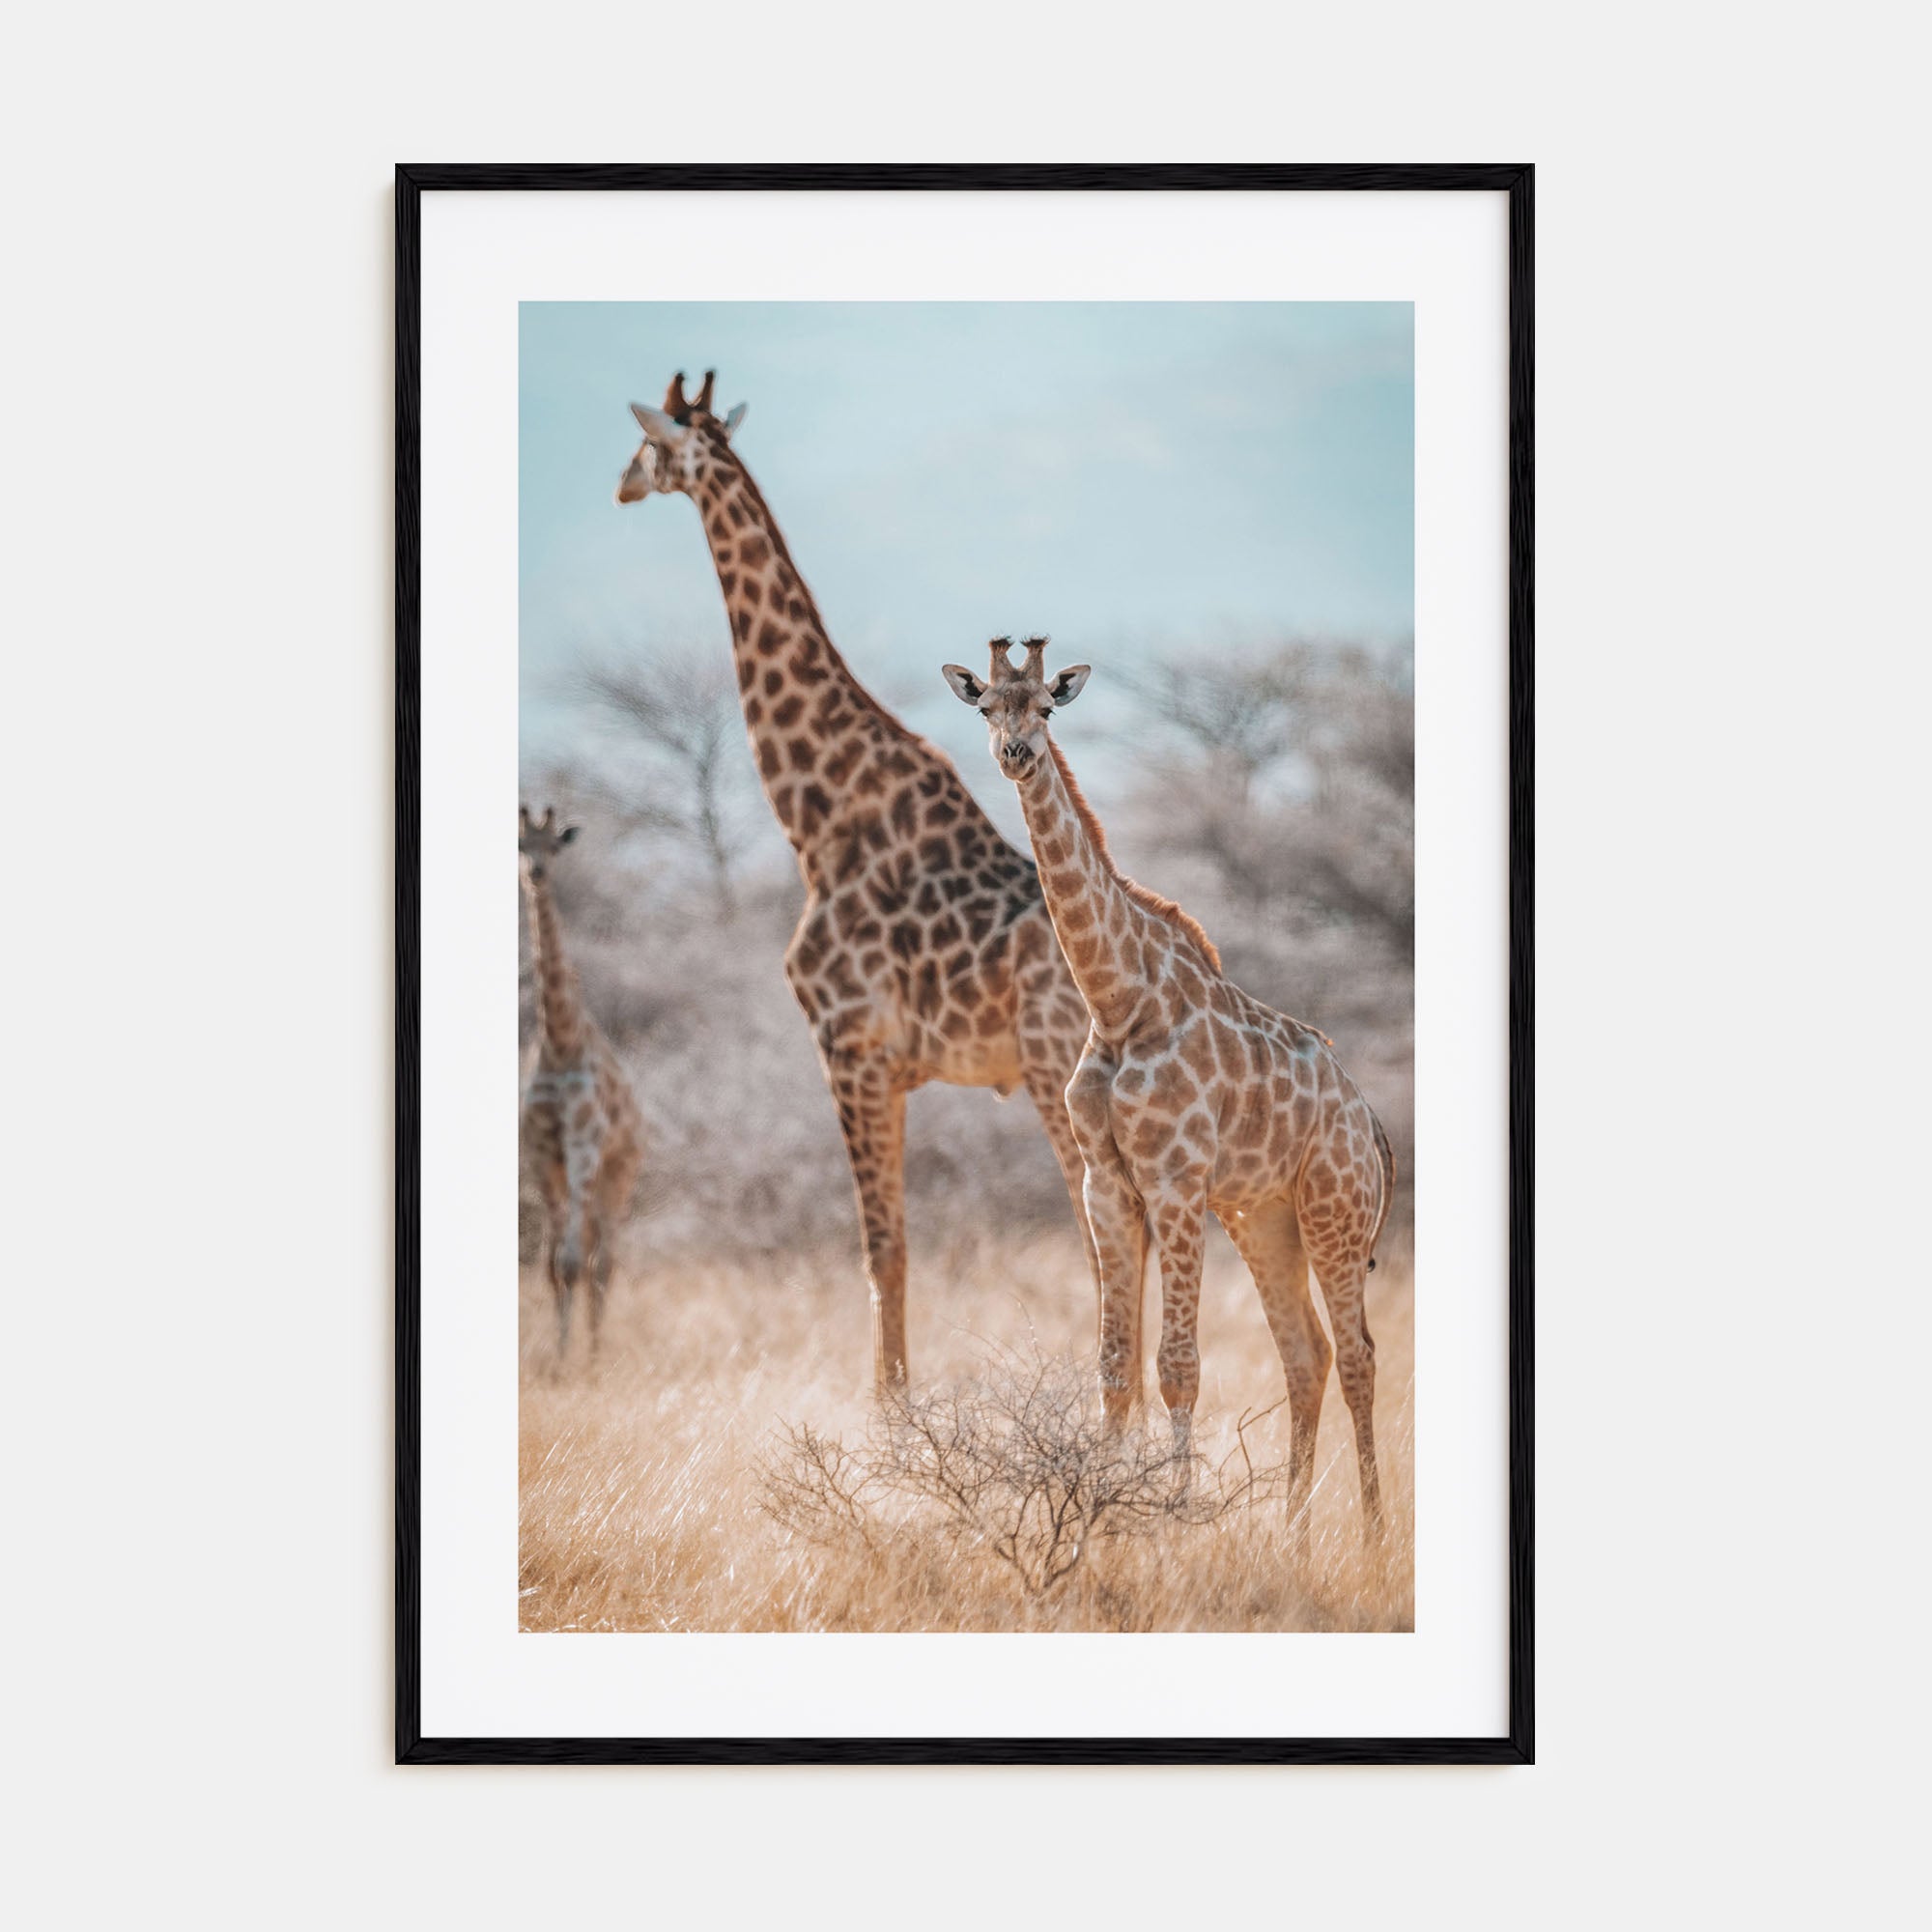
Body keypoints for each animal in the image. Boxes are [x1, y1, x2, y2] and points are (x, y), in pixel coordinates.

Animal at [616, 371, 1130, 1395]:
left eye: (651, 445)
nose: (620, 485)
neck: (818, 815)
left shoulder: (846, 1044)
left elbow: (880, 1244)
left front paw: (889, 1412)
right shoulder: (888, 1065)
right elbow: (894, 1243)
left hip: (1055, 1073)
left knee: (1110, 1235)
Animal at [943, 639, 1397, 1543]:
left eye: (1045, 707)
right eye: (985, 709)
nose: (1017, 754)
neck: (1118, 998)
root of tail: (1369, 1123)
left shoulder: (1176, 1181)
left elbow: (1178, 1365)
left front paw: (1178, 1520)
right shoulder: (1107, 1183)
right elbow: (1116, 1366)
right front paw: (1105, 1518)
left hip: (1333, 1211)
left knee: (1360, 1355)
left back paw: (1369, 1534)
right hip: (1264, 1216)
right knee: (1307, 1354)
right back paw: (1292, 1533)